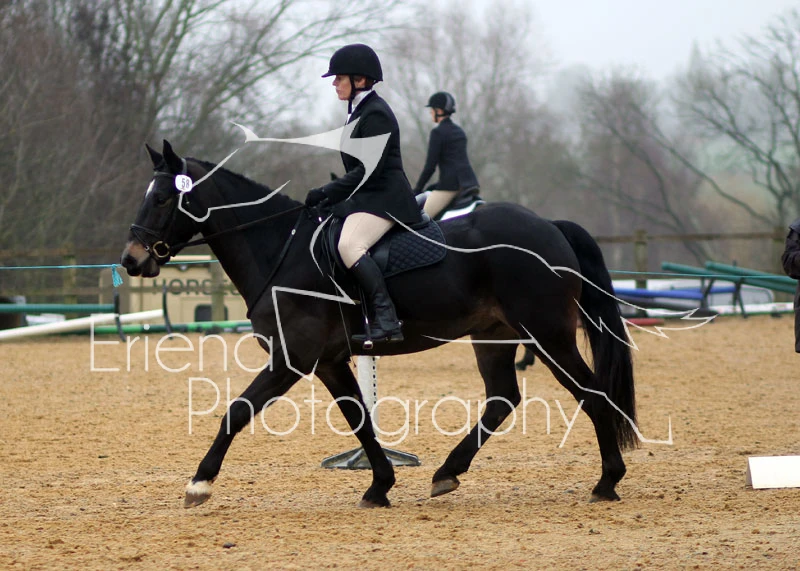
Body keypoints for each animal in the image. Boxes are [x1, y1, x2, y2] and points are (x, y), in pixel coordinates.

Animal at [121, 140, 637, 509]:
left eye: (163, 198)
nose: (131, 260)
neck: (282, 250)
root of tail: (548, 225)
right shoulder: (329, 361)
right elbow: (359, 418)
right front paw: (379, 486)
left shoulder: (293, 359)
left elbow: (237, 411)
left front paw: (199, 484)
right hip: (493, 335)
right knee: (502, 398)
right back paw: (447, 472)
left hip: (548, 334)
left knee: (592, 394)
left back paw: (607, 480)